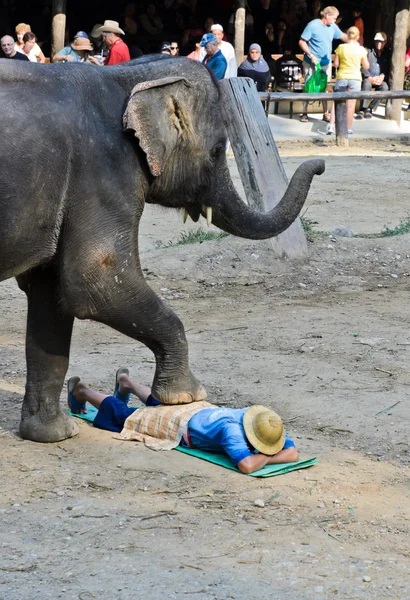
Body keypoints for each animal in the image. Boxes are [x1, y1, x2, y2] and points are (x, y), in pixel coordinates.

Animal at [0, 55, 324, 440]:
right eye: (218, 150)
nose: (320, 164)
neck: (127, 76)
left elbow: (51, 293)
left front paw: (54, 434)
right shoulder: (103, 170)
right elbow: (95, 279)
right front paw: (187, 396)